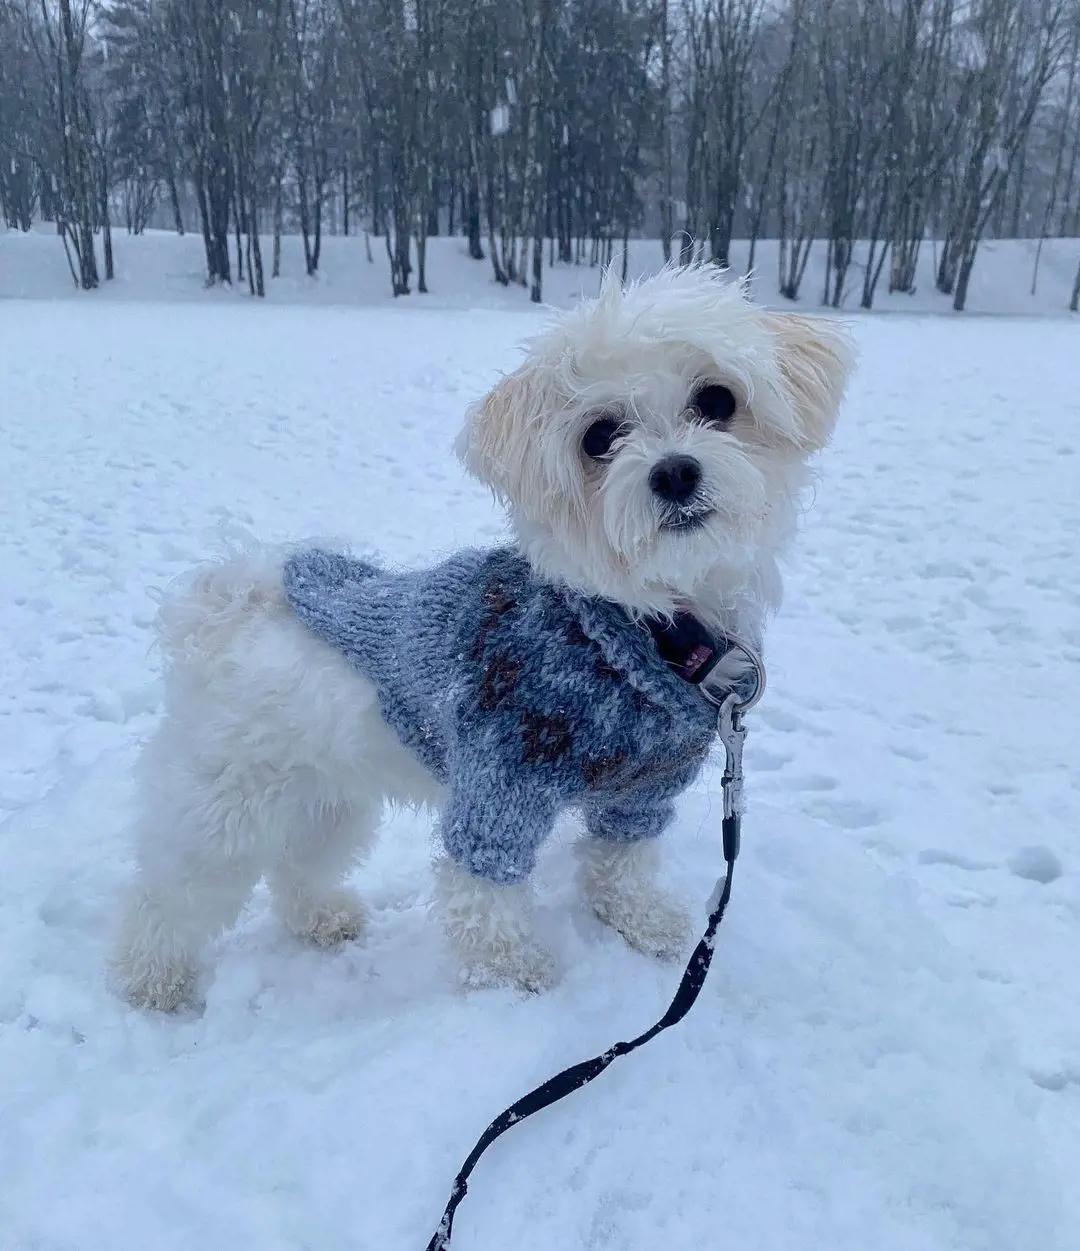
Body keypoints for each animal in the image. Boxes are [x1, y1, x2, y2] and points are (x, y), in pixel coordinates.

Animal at [110, 261, 850, 1005]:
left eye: (718, 399)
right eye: (599, 436)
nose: (673, 472)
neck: (633, 628)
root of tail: (229, 613)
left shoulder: (642, 791)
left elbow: (622, 862)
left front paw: (643, 921)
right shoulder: (499, 786)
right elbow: (483, 893)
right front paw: (512, 972)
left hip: (329, 795)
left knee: (298, 864)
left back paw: (321, 917)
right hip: (226, 803)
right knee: (170, 893)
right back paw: (154, 979)